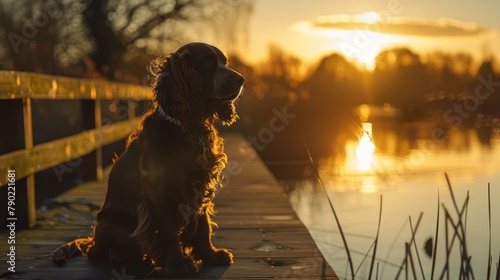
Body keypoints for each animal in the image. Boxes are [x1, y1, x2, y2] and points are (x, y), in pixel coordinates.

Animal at [52, 42, 244, 274]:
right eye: (207, 61)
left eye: (225, 62)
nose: (241, 79)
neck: (188, 127)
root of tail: (94, 241)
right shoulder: (159, 192)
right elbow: (169, 232)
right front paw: (178, 264)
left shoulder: (200, 183)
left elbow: (203, 224)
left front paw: (210, 255)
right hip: (115, 225)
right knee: (98, 252)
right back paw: (120, 255)